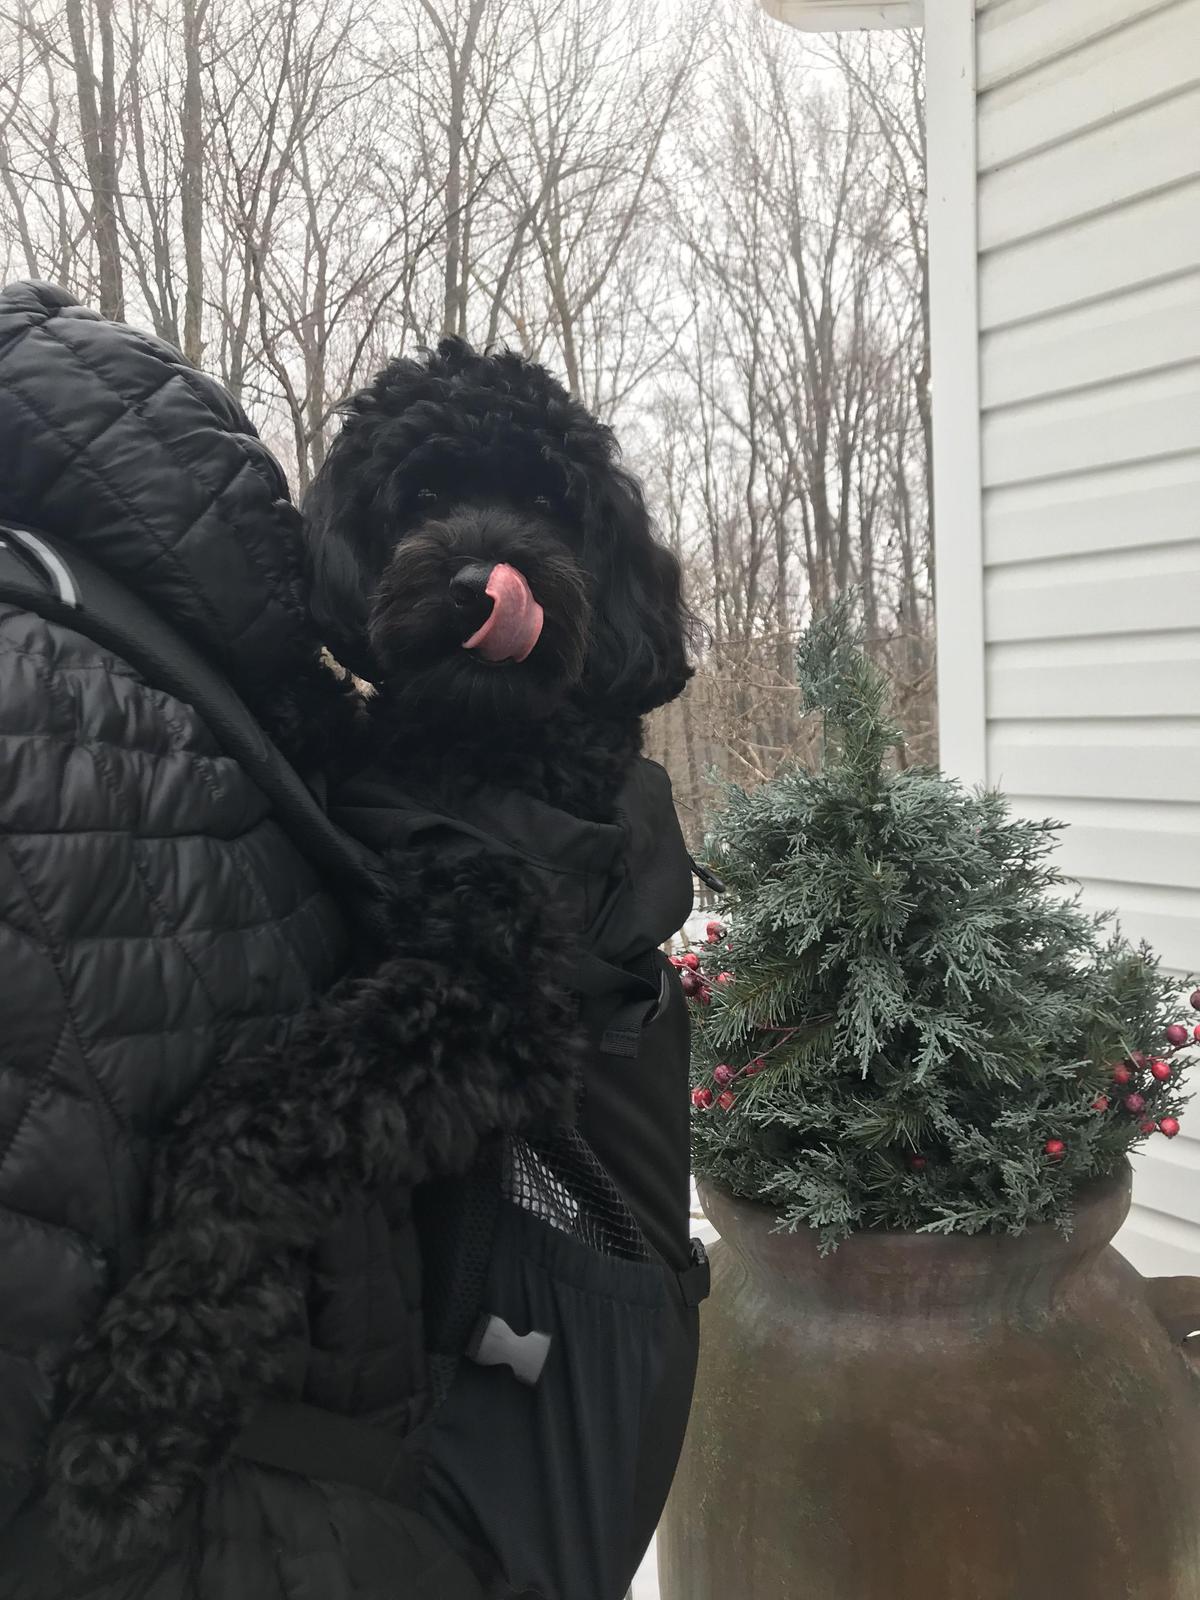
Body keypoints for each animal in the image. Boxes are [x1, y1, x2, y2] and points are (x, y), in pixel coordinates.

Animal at [49, 334, 694, 1561]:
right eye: (424, 498)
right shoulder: (375, 789)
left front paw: (154, 1375)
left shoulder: (497, 1000)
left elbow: (268, 1107)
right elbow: (328, 722)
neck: (481, 752)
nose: (484, 577)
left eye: (552, 506)